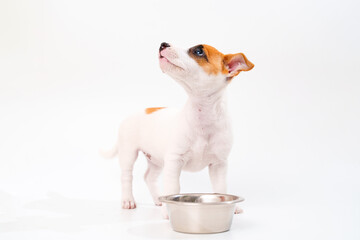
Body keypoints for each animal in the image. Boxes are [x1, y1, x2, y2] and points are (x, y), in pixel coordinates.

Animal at [102, 42, 255, 218]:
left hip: (156, 160)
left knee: (149, 177)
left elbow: (221, 188)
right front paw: (168, 210)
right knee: (126, 177)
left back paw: (158, 199)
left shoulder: (219, 165)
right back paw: (128, 200)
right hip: (128, 154)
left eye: (199, 51)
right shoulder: (174, 162)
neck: (203, 116)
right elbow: (173, 188)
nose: (163, 44)